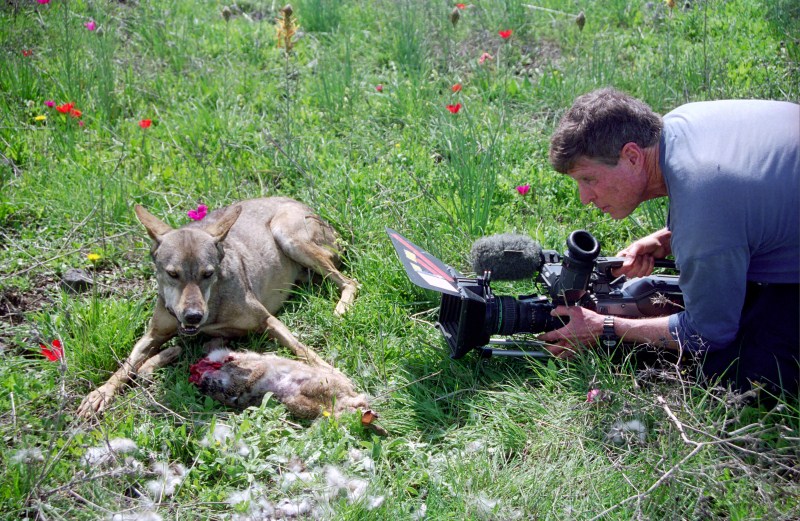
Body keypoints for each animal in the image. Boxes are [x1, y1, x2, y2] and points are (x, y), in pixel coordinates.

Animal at [77, 197, 360, 420]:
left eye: (208, 273)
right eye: (172, 274)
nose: (192, 316)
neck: (211, 308)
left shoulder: (267, 320)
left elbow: (303, 349)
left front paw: (333, 373)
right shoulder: (156, 333)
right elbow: (126, 365)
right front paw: (100, 393)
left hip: (288, 235)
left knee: (349, 281)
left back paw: (341, 308)